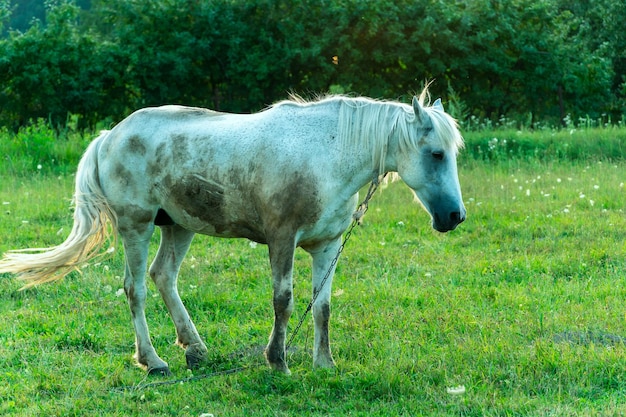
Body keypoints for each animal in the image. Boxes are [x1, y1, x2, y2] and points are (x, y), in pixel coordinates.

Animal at [0, 88, 460, 374]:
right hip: (137, 225)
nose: (454, 216)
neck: (325, 154)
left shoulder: (326, 247)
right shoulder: (282, 241)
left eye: (452, 153)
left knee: (163, 277)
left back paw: (195, 349)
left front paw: (324, 364)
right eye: (436, 154)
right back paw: (152, 361)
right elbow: (283, 302)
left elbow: (323, 306)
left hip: (178, 227)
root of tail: (110, 135)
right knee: (136, 288)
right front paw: (277, 360)